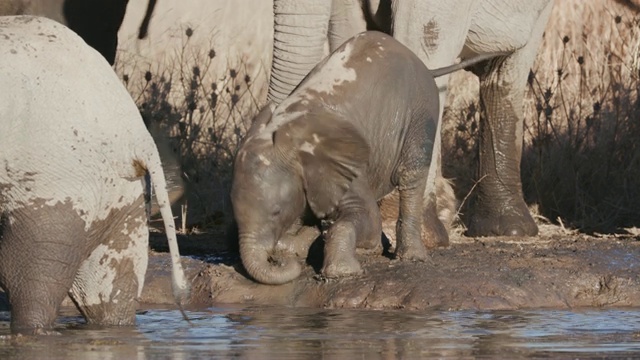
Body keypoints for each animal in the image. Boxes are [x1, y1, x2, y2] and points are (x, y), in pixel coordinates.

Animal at [230, 30, 504, 284]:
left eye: (276, 212)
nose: (275, 262)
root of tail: (423, 64)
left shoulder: (344, 170)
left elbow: (368, 219)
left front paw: (341, 271)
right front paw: (307, 243)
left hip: (421, 111)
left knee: (411, 176)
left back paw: (411, 257)